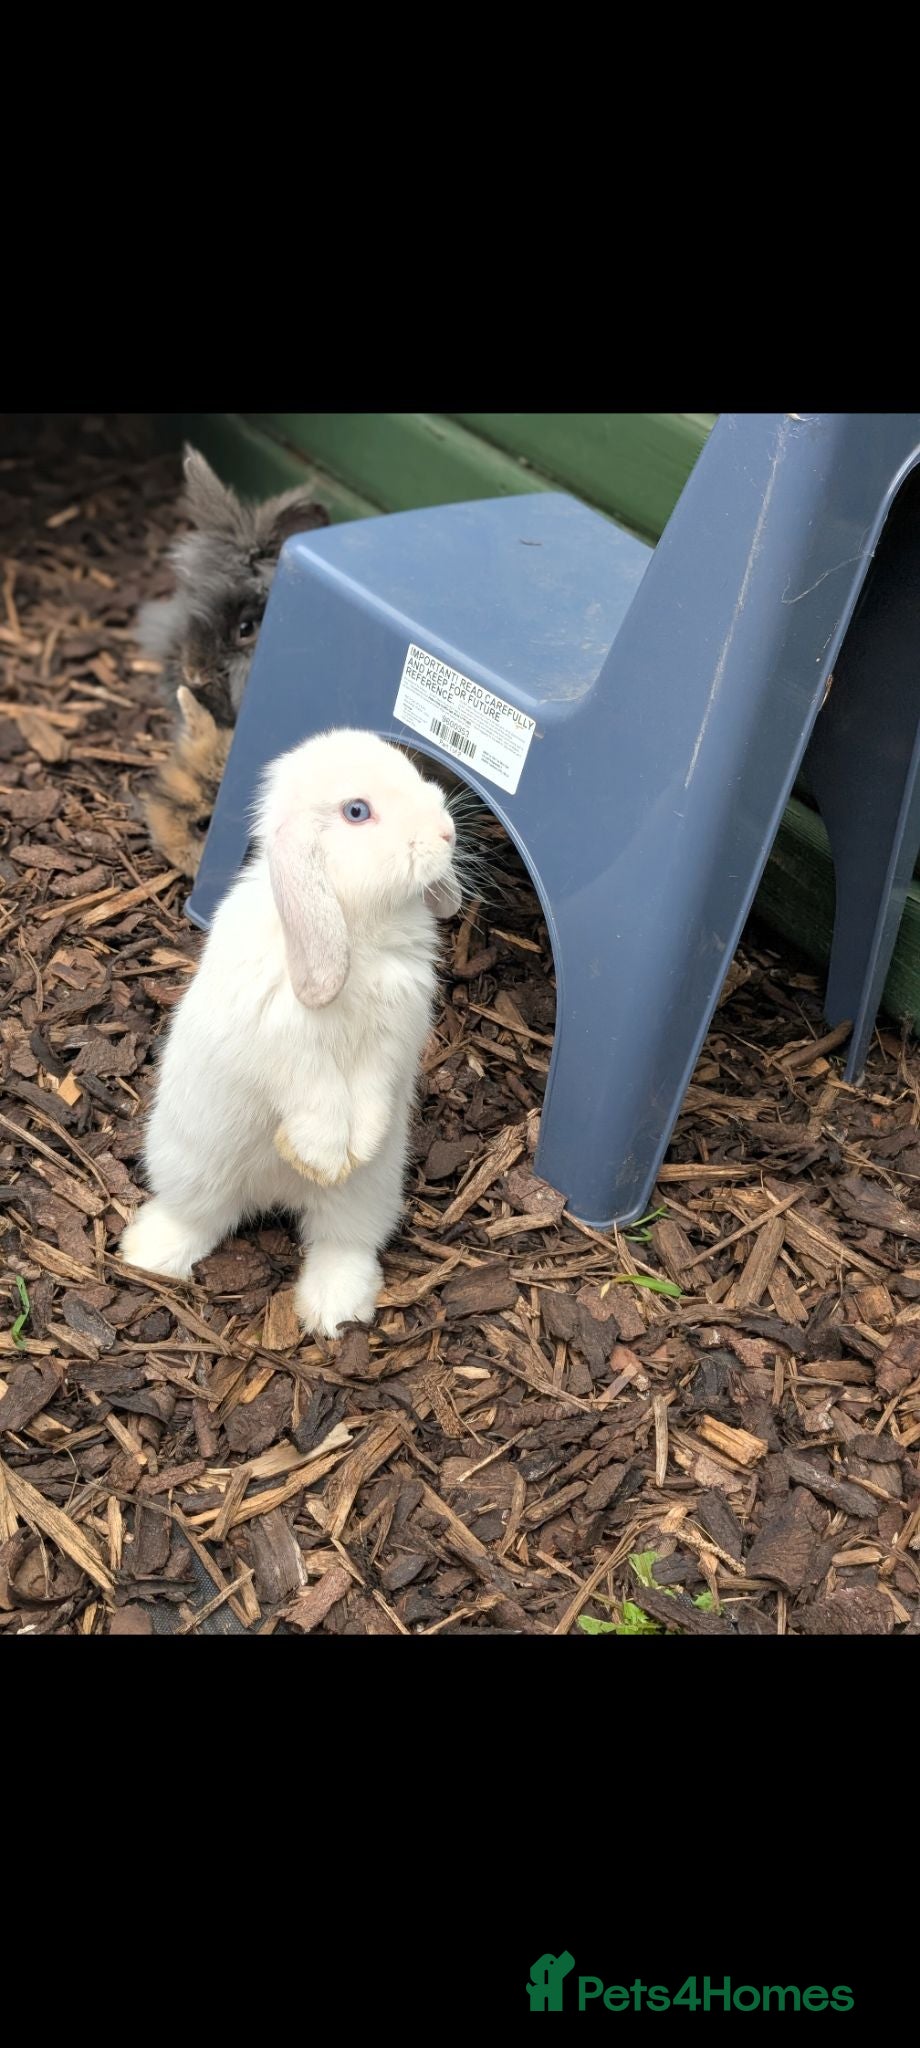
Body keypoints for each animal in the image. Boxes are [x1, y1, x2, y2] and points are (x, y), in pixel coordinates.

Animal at [119, 728, 461, 1339]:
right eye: (356, 811)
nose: (447, 832)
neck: (352, 923)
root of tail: (272, 1193)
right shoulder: (289, 1048)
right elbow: (316, 1096)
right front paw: (323, 1156)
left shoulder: (391, 1040)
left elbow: (369, 1092)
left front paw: (357, 1146)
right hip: (189, 1163)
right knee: (196, 1219)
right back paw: (148, 1255)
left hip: (367, 1197)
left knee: (340, 1243)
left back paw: (334, 1310)